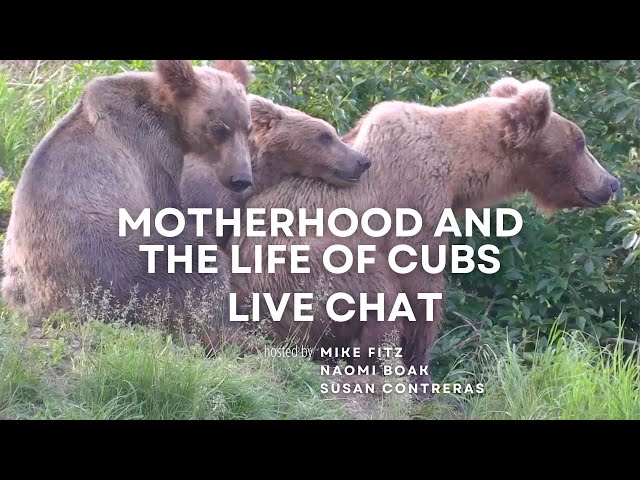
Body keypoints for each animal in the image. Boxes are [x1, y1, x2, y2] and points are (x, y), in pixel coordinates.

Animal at [1, 60, 254, 330]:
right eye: (219, 129)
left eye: (247, 128)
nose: (241, 178)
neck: (170, 119)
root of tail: (44, 307)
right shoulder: (152, 153)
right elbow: (172, 214)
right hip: (112, 259)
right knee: (192, 256)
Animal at [232, 77, 620, 396]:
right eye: (580, 142)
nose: (612, 183)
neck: (459, 168)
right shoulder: (416, 195)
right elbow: (419, 282)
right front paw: (421, 373)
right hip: (296, 275)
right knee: (373, 289)